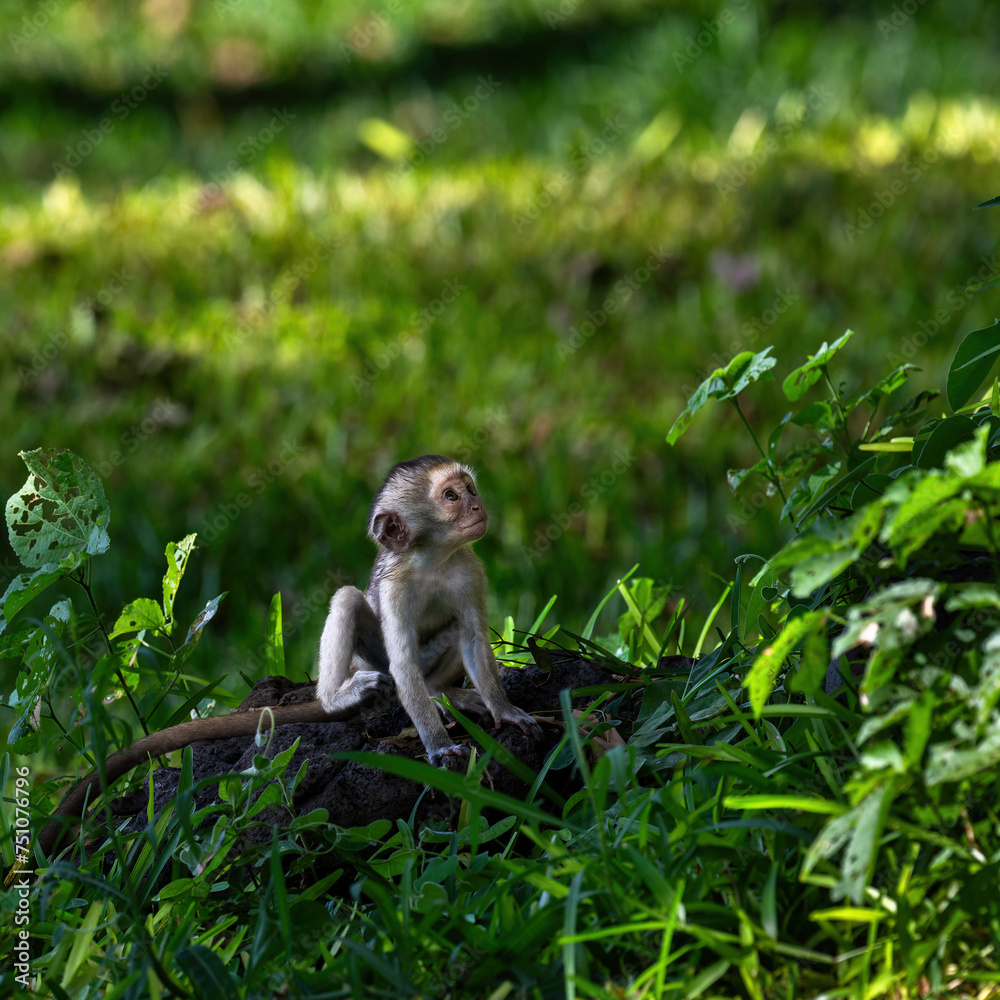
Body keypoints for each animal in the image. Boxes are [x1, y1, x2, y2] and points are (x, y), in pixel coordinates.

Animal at [38, 455, 540, 857]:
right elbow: (401, 665)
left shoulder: (469, 569)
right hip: (367, 662)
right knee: (350, 604)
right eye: (451, 496)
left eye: (469, 489)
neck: (434, 560)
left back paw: (444, 692)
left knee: (448, 639)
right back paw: (340, 699)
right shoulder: (398, 588)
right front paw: (438, 746)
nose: (477, 506)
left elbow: (473, 638)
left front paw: (504, 710)